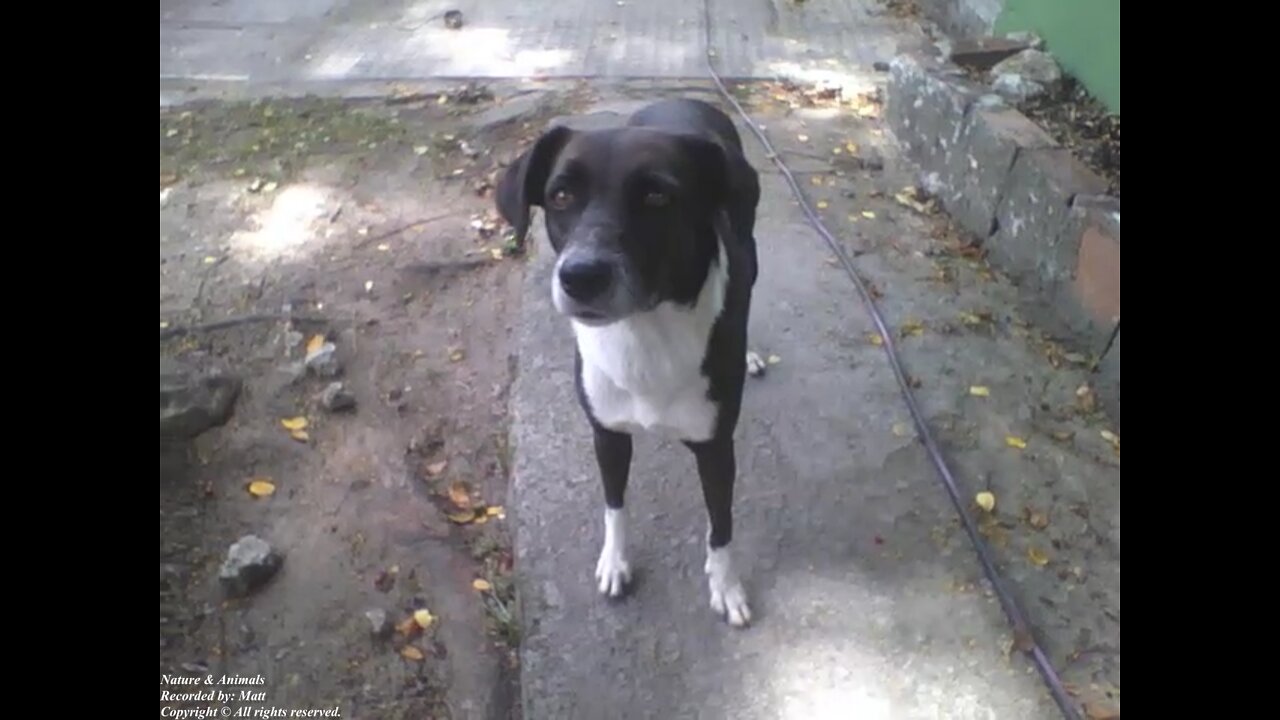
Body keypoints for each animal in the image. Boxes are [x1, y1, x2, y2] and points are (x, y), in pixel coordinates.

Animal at [496, 98, 757, 625]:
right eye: (560, 196)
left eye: (657, 197)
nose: (581, 276)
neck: (644, 332)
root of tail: (684, 100)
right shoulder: (607, 434)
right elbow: (614, 503)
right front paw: (615, 562)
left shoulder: (717, 448)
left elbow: (721, 525)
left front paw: (726, 586)